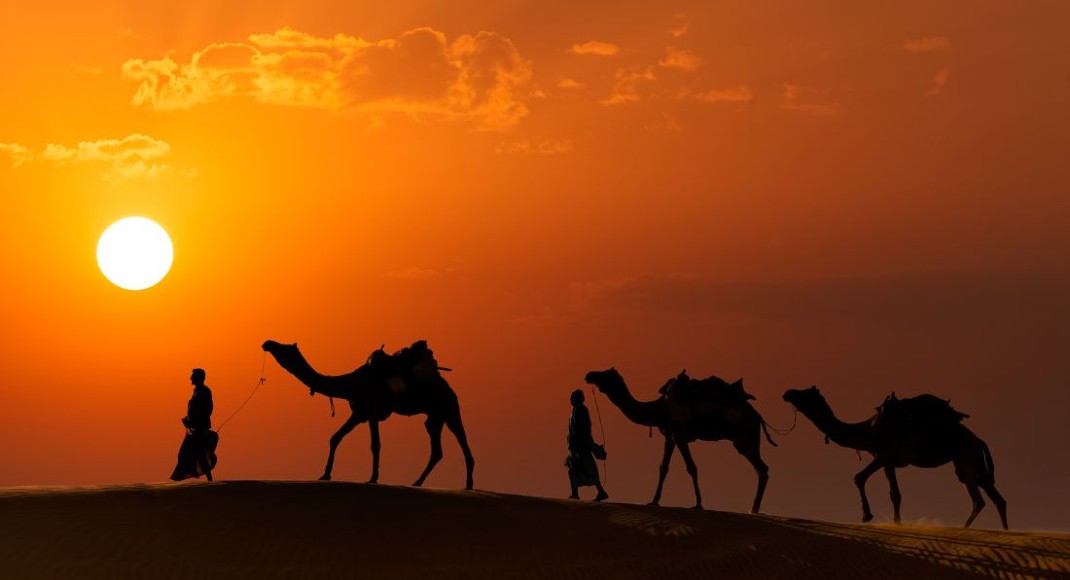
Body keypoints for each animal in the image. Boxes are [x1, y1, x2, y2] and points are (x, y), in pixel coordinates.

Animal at [261, 340, 475, 492]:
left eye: (284, 348)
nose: (267, 343)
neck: (350, 384)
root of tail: (446, 384)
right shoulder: (360, 413)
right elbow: (335, 437)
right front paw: (325, 475)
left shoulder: (369, 411)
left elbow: (375, 445)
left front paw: (372, 478)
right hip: (435, 416)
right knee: (437, 449)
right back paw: (418, 482)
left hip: (449, 407)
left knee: (461, 438)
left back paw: (468, 484)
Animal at [586, 368, 778, 513]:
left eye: (605, 374)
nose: (589, 375)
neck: (659, 409)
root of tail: (757, 416)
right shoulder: (669, 436)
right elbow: (663, 467)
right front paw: (654, 501)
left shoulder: (679, 435)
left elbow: (691, 467)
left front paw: (698, 504)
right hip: (744, 440)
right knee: (760, 469)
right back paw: (754, 507)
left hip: (745, 437)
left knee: (762, 468)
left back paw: (754, 507)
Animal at [783, 387, 1005, 532]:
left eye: (805, 393)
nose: (787, 393)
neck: (868, 431)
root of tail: (979, 440)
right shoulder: (887, 463)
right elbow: (895, 494)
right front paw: (897, 524)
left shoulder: (884, 455)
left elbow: (858, 477)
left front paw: (867, 515)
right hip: (973, 462)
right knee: (996, 498)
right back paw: (1003, 531)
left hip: (966, 457)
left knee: (979, 499)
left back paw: (964, 529)